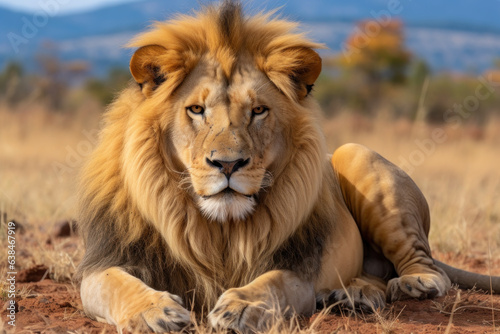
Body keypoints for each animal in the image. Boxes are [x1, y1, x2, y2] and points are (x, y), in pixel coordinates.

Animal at [76, 1, 498, 332]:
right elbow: (117, 283)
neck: (218, 229)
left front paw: (240, 307)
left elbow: (270, 284)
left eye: (258, 111)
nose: (227, 164)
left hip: (355, 153)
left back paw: (408, 285)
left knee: (428, 267)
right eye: (196, 109)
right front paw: (154, 313)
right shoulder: (104, 261)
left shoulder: (298, 270)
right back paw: (356, 295)